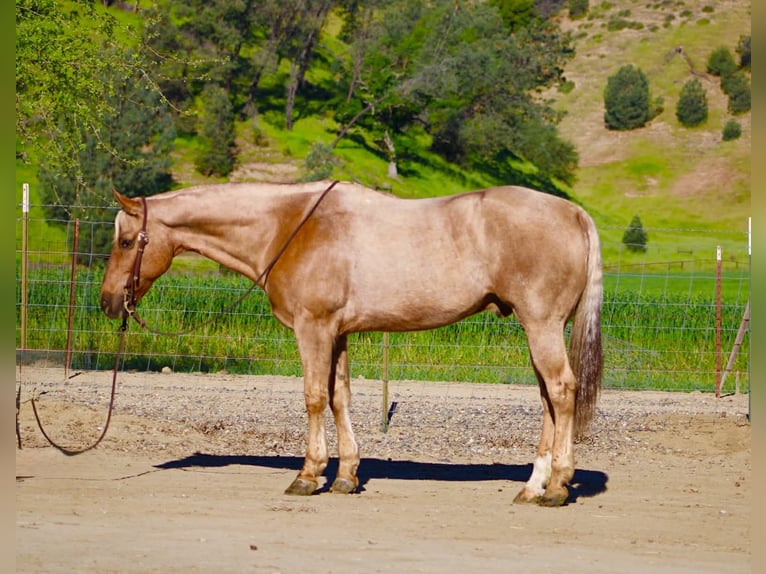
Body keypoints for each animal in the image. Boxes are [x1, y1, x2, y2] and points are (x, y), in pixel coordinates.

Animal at [99, 180, 603, 507]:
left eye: (125, 241)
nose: (108, 302)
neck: (291, 226)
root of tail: (574, 212)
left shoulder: (313, 329)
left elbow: (314, 397)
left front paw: (308, 475)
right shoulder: (337, 333)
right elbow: (340, 397)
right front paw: (345, 476)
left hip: (541, 325)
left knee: (561, 391)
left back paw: (557, 486)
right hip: (538, 329)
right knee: (547, 398)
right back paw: (532, 486)